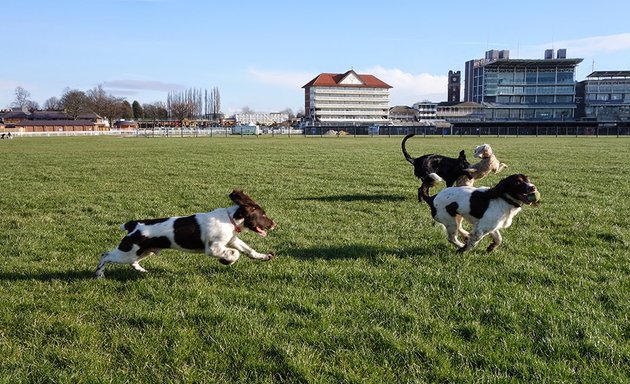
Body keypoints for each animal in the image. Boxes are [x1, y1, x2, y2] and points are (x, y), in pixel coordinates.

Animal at [96, 190, 276, 278]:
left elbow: (249, 250)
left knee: (133, 262)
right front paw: (227, 261)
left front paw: (265, 256)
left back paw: (142, 271)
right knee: (105, 255)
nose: (275, 224)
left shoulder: (232, 240)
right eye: (263, 215)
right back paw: (99, 275)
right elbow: (235, 253)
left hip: (142, 251)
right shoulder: (213, 248)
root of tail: (134, 224)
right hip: (128, 251)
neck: (230, 219)